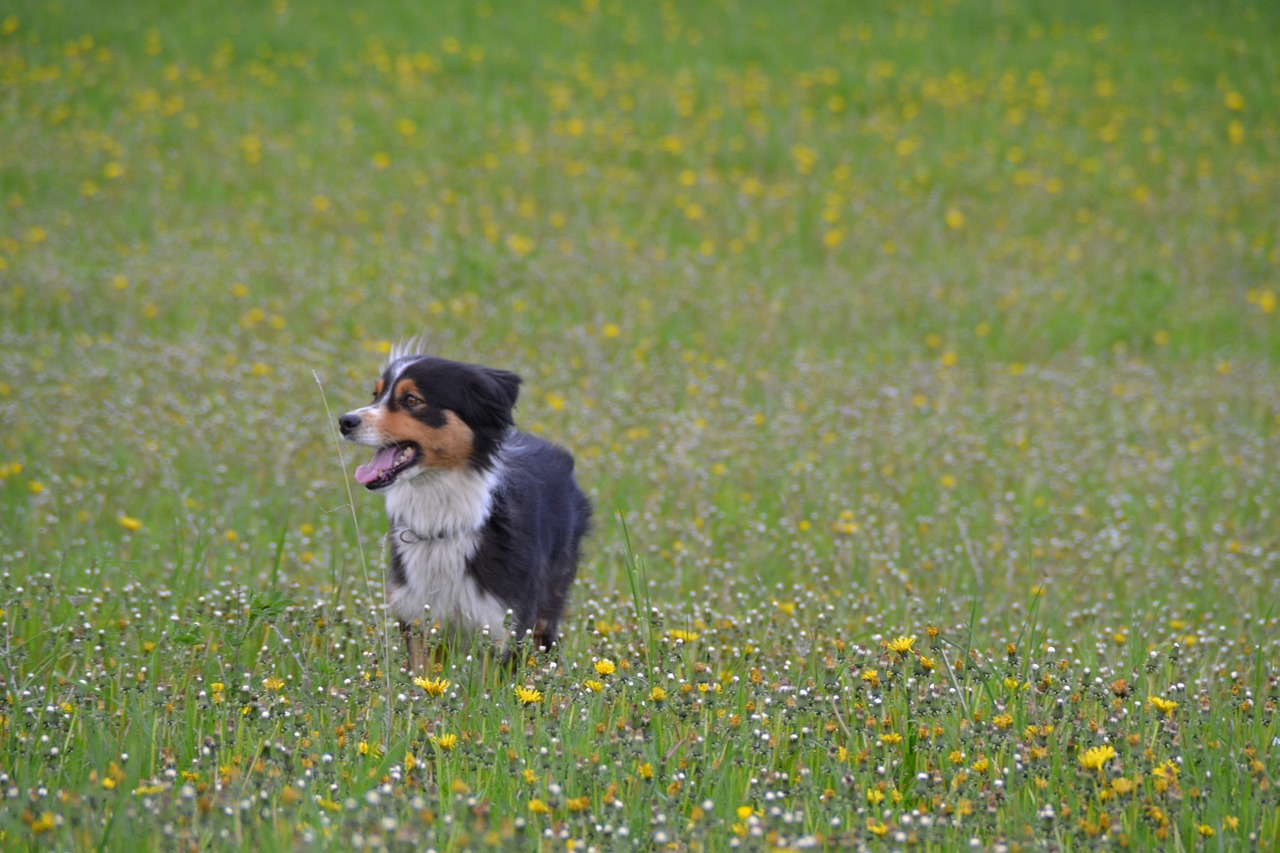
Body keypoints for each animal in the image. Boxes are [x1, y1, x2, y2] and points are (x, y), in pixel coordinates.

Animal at [340, 348, 593, 671]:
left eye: (412, 399)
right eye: (376, 394)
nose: (345, 421)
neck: (441, 518)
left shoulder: (502, 625)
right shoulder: (418, 619)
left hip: (547, 609)